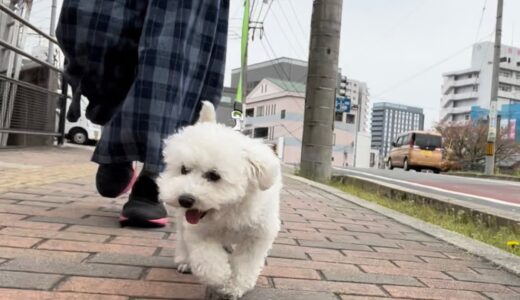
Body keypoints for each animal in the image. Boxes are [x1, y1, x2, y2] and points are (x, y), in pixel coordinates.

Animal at [157, 102, 280, 298]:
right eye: (184, 170)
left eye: (214, 176)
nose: (185, 200)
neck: (229, 210)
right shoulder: (199, 232)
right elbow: (207, 259)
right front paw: (220, 277)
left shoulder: (257, 235)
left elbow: (246, 264)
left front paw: (234, 286)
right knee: (182, 239)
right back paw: (185, 261)